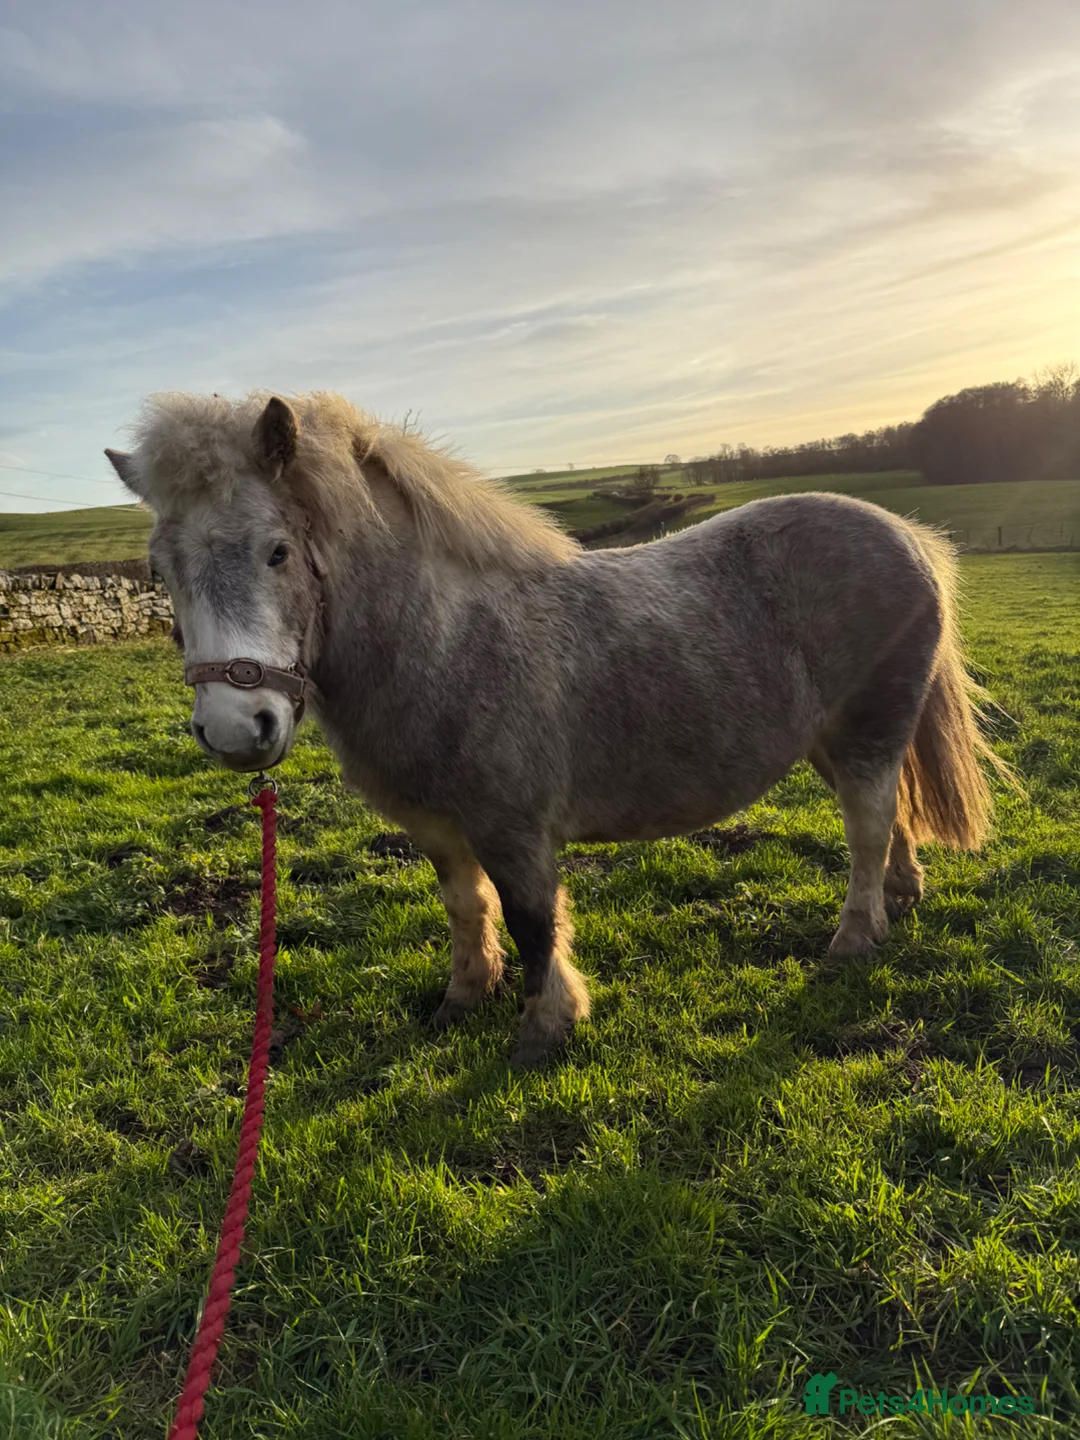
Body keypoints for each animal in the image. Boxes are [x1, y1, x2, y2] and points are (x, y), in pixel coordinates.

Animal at [105, 391, 1003, 1067]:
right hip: (833, 740)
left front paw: (543, 1028)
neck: (449, 640)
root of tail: (906, 534)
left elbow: (534, 919)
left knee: (868, 823)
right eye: (159, 568)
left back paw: (854, 938)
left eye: (278, 552)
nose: (235, 729)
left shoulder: (515, 828)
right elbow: (466, 907)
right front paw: (463, 999)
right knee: (891, 818)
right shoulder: (439, 828)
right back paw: (900, 898)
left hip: (869, 730)